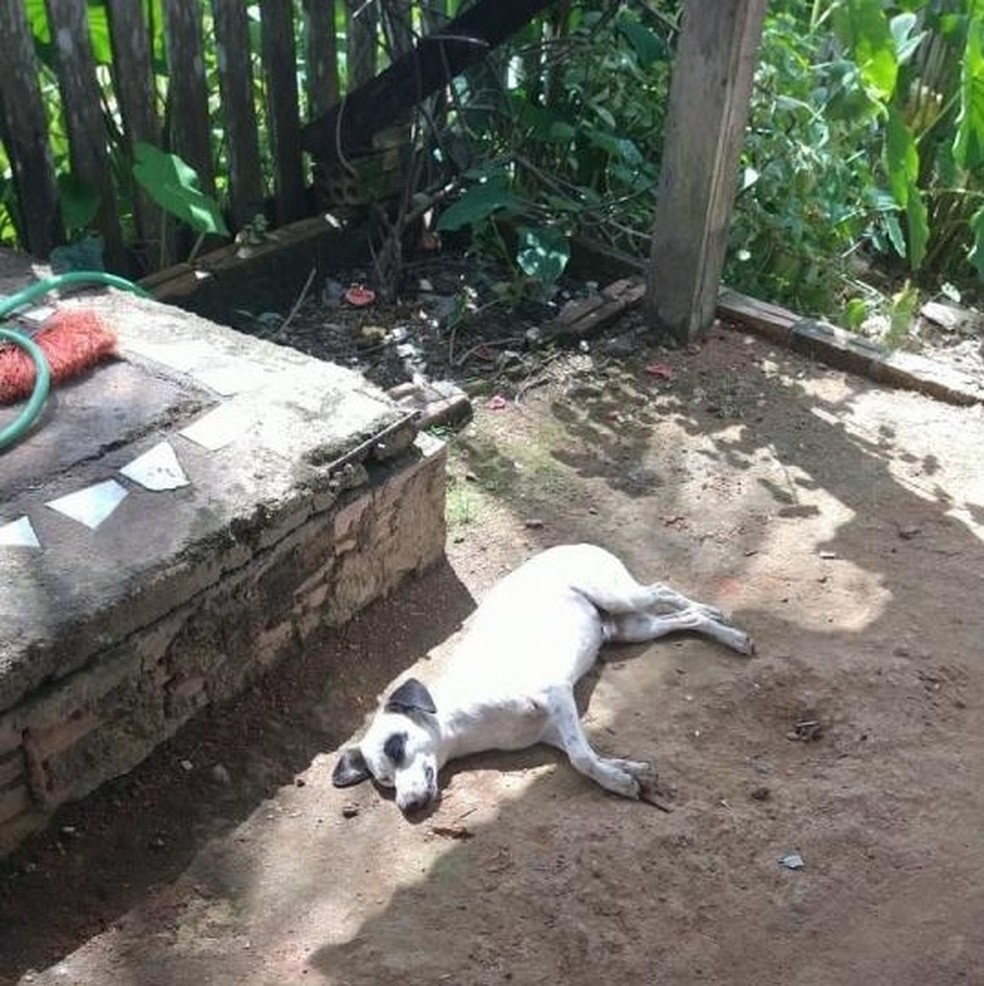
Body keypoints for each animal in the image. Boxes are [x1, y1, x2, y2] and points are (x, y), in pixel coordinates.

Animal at [332, 544, 753, 813]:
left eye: (396, 747)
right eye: (385, 781)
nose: (409, 806)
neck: (463, 722)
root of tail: (574, 542)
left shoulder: (557, 694)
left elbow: (583, 759)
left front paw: (618, 782)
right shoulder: (553, 731)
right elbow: (589, 754)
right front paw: (625, 771)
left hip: (622, 599)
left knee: (663, 590)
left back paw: (725, 625)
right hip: (631, 629)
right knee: (684, 619)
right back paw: (720, 625)